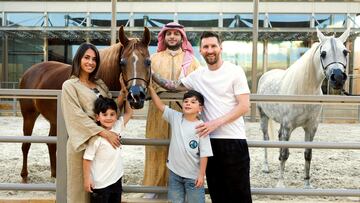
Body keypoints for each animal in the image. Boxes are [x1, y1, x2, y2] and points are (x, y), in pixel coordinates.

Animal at [18, 25, 150, 182]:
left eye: (148, 61)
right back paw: (24, 176)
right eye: (122, 62)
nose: (136, 96)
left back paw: (55, 174)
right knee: (26, 144)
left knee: (51, 143)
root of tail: (29, 72)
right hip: (29, 116)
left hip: (55, 120)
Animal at [258, 29, 350, 189]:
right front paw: (280, 184)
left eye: (345, 52)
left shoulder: (311, 128)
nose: (338, 78)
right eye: (323, 54)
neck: (305, 91)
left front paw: (307, 184)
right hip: (264, 117)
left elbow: (307, 154)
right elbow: (285, 154)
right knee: (266, 139)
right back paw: (266, 167)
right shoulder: (288, 126)